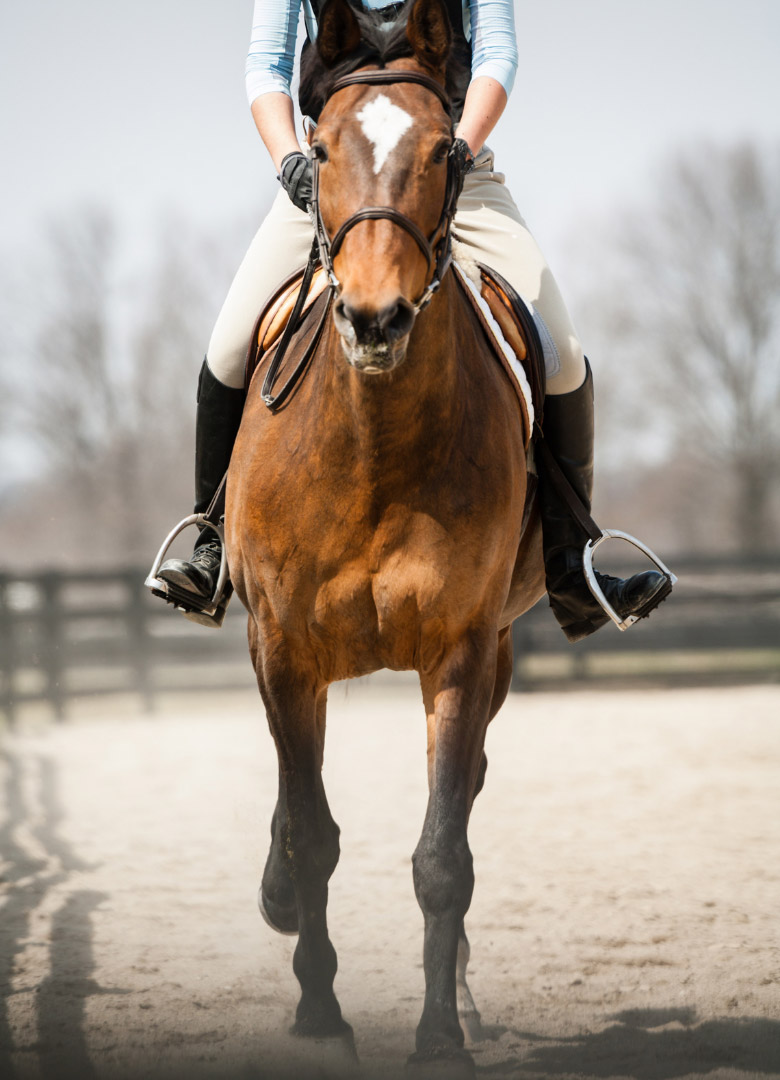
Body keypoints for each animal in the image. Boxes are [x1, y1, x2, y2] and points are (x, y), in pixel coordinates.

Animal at [226, 0, 546, 1069]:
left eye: (446, 149)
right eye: (319, 152)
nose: (375, 320)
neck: (373, 441)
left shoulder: (459, 652)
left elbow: (444, 853)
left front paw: (440, 1035)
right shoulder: (282, 647)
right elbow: (315, 830)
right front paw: (321, 1014)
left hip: (492, 657)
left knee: (467, 792)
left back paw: (467, 1002)